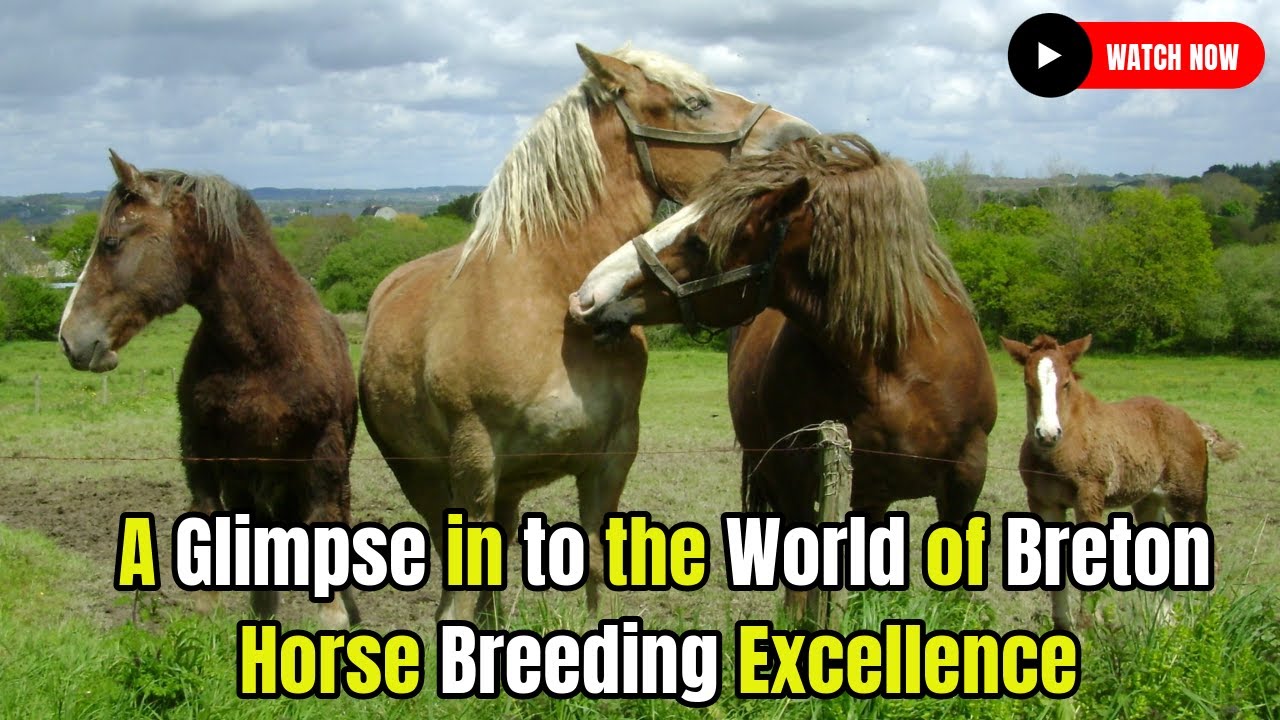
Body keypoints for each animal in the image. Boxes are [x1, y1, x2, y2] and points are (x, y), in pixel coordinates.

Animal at [58, 151, 361, 629]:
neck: (261, 350)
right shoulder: (200, 448)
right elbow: (207, 518)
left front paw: (333, 619)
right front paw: (205, 615)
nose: (69, 338)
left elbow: (322, 526)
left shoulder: (323, 453)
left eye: (110, 242)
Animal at [358, 43, 817, 625]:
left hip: (506, 491)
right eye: (693, 102)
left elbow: (598, 568)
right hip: (425, 480)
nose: (801, 137)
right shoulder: (473, 465)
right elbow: (459, 596)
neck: (547, 299)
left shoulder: (612, 456)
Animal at [1000, 333, 1239, 631]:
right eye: (1027, 383)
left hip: (1188, 499)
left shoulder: (1089, 497)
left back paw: (1207, 624)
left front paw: (1089, 627)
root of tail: (1194, 424)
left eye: (1066, 383)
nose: (1048, 434)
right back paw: (1164, 627)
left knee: (1212, 560)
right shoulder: (1043, 502)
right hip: (1149, 501)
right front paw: (1063, 627)